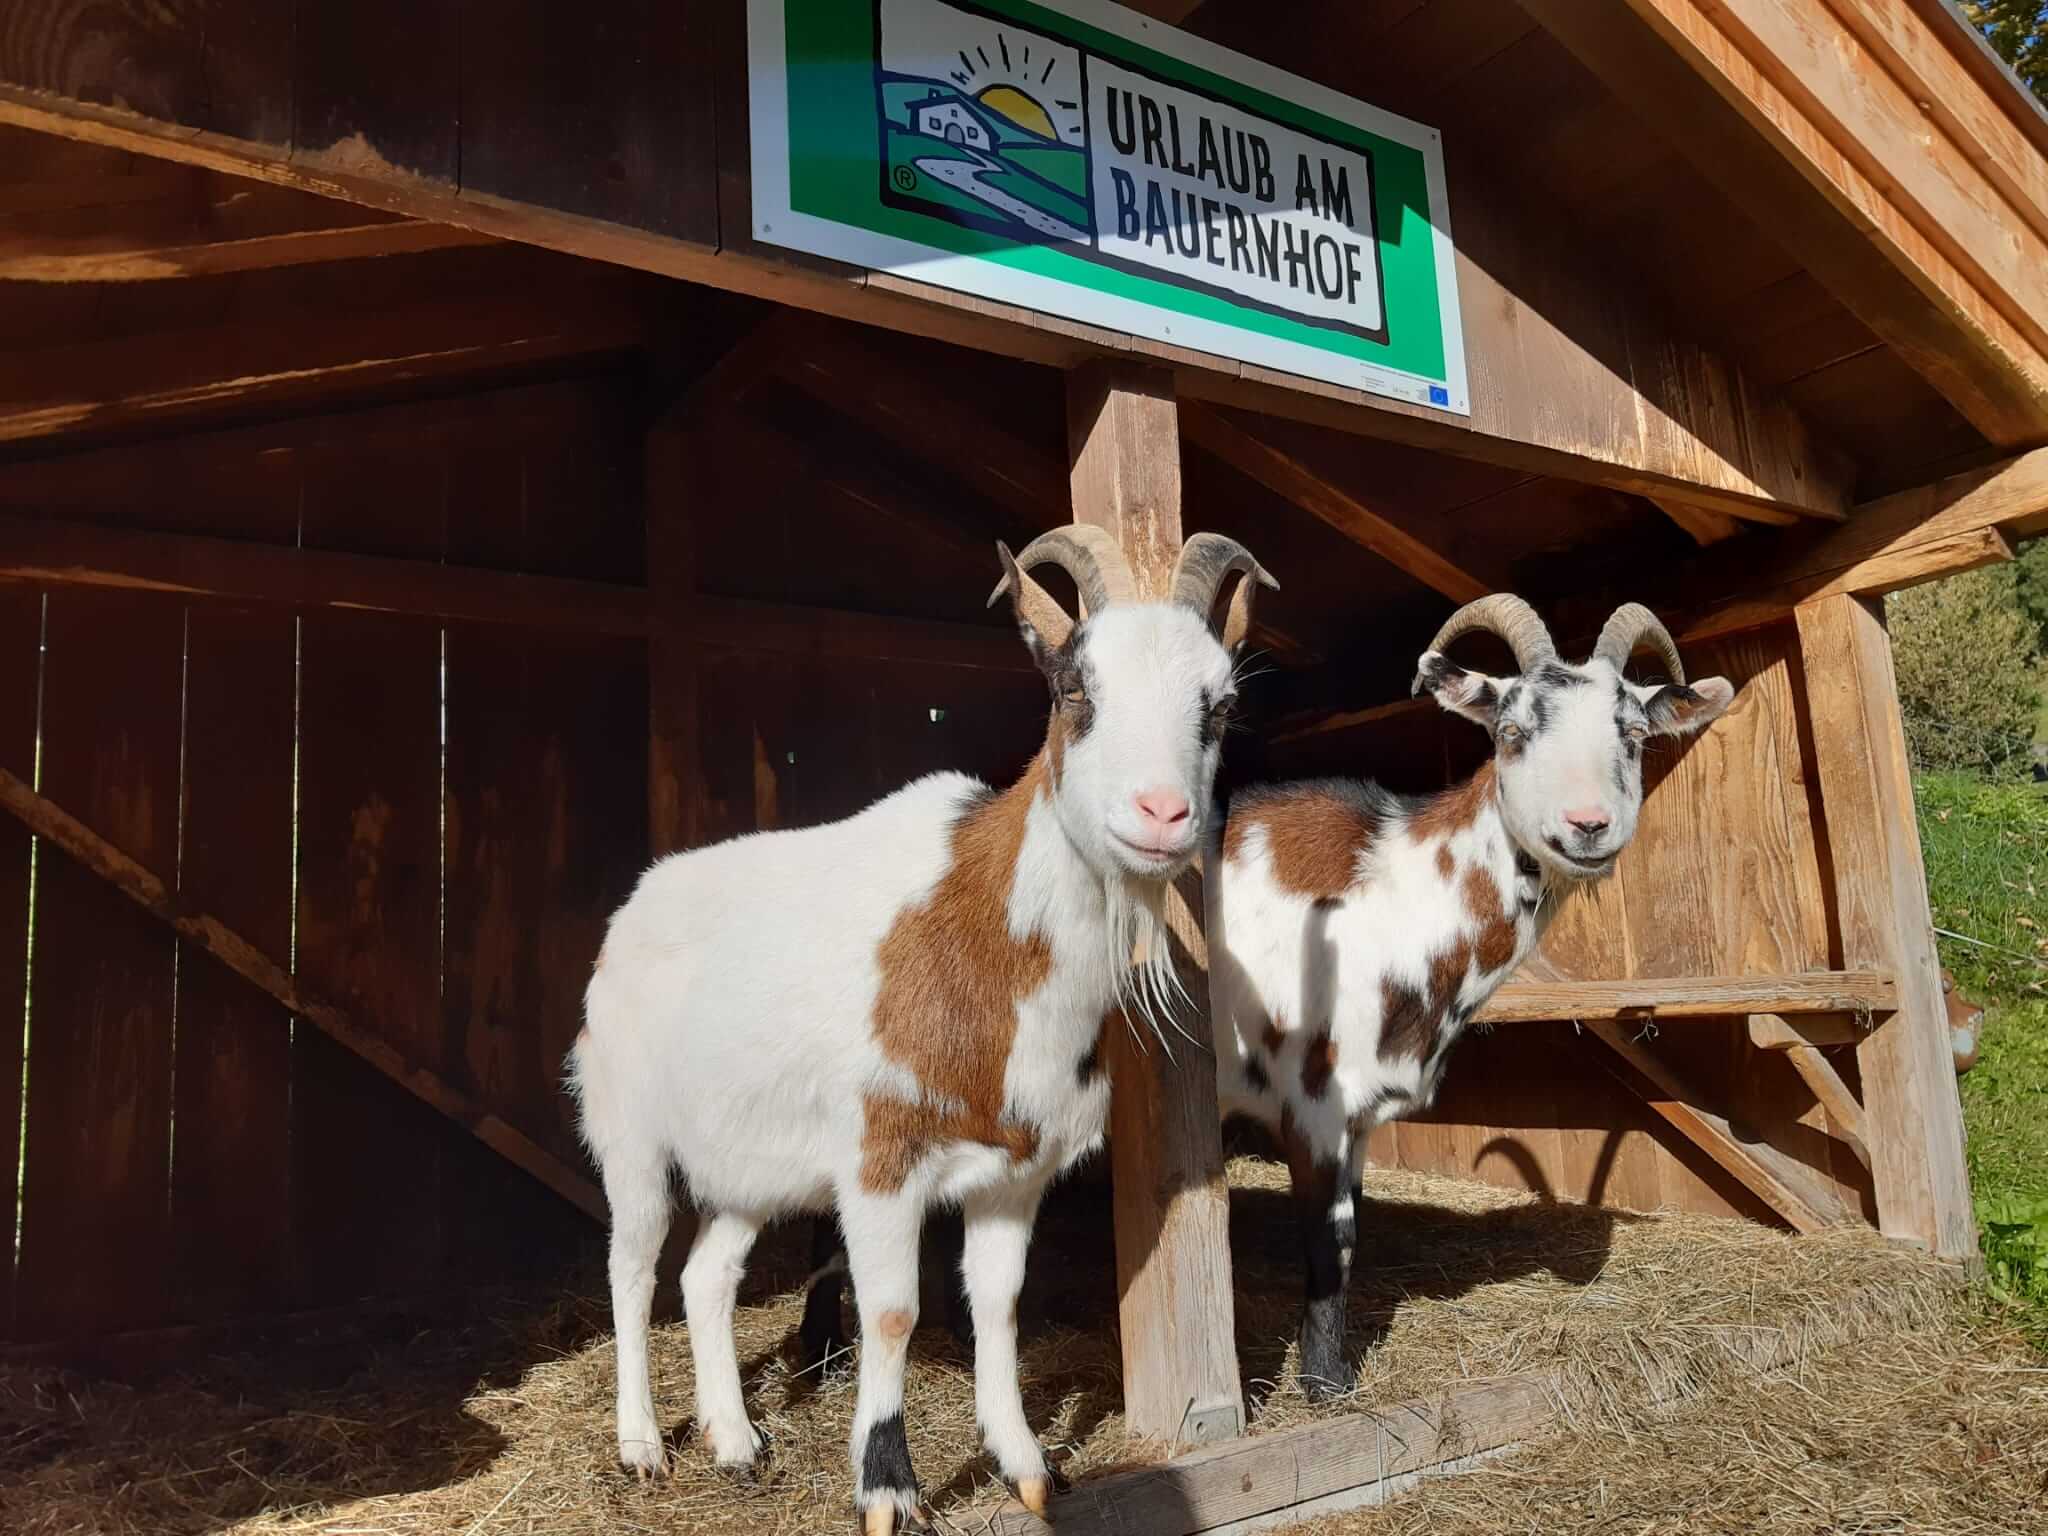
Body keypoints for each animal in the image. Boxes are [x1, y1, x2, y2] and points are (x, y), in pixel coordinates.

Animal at [569, 525, 1274, 1535]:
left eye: (1221, 703)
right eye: (1073, 687)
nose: (1162, 814)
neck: (984, 936)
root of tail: (635, 909)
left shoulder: (1017, 1169)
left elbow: (1000, 1303)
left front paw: (1026, 1466)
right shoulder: (879, 1158)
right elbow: (894, 1312)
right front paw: (887, 1486)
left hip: (749, 1158)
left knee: (707, 1275)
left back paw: (736, 1444)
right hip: (627, 1128)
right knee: (631, 1267)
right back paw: (642, 1447)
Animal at [1207, 595, 1733, 1399]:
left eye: (1635, 736)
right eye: (1512, 732)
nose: (1588, 826)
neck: (1390, 891)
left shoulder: (1358, 1114)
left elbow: (1352, 1231)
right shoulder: (1314, 1096)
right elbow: (1329, 1239)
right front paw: (1325, 1384)